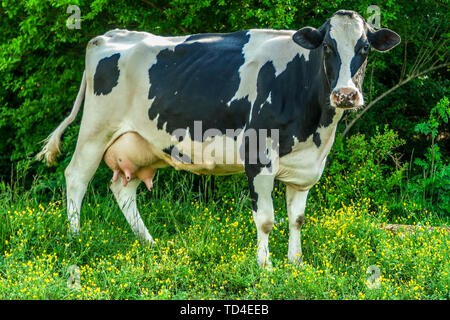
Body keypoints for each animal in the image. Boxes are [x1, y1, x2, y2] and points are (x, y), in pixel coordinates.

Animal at [37, 10, 400, 268]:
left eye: (364, 48)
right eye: (327, 46)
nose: (345, 95)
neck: (316, 127)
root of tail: (110, 36)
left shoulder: (306, 165)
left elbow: (297, 218)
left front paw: (296, 264)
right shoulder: (258, 155)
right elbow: (266, 220)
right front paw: (265, 267)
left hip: (140, 144)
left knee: (122, 189)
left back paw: (149, 243)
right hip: (96, 129)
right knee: (76, 177)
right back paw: (75, 239)